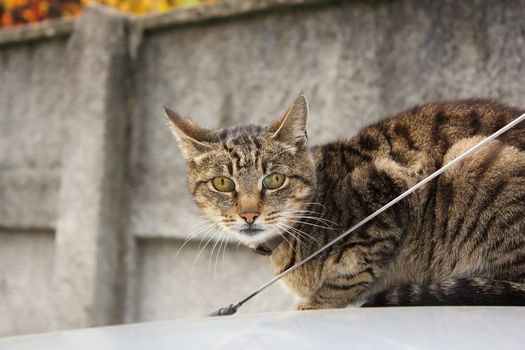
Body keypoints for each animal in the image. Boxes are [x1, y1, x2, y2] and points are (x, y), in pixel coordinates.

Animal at [165, 95, 524, 308]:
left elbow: (352, 271)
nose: (249, 214)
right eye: (223, 183)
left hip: (476, 159)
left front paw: (315, 303)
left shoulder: (390, 191)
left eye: (274, 180)